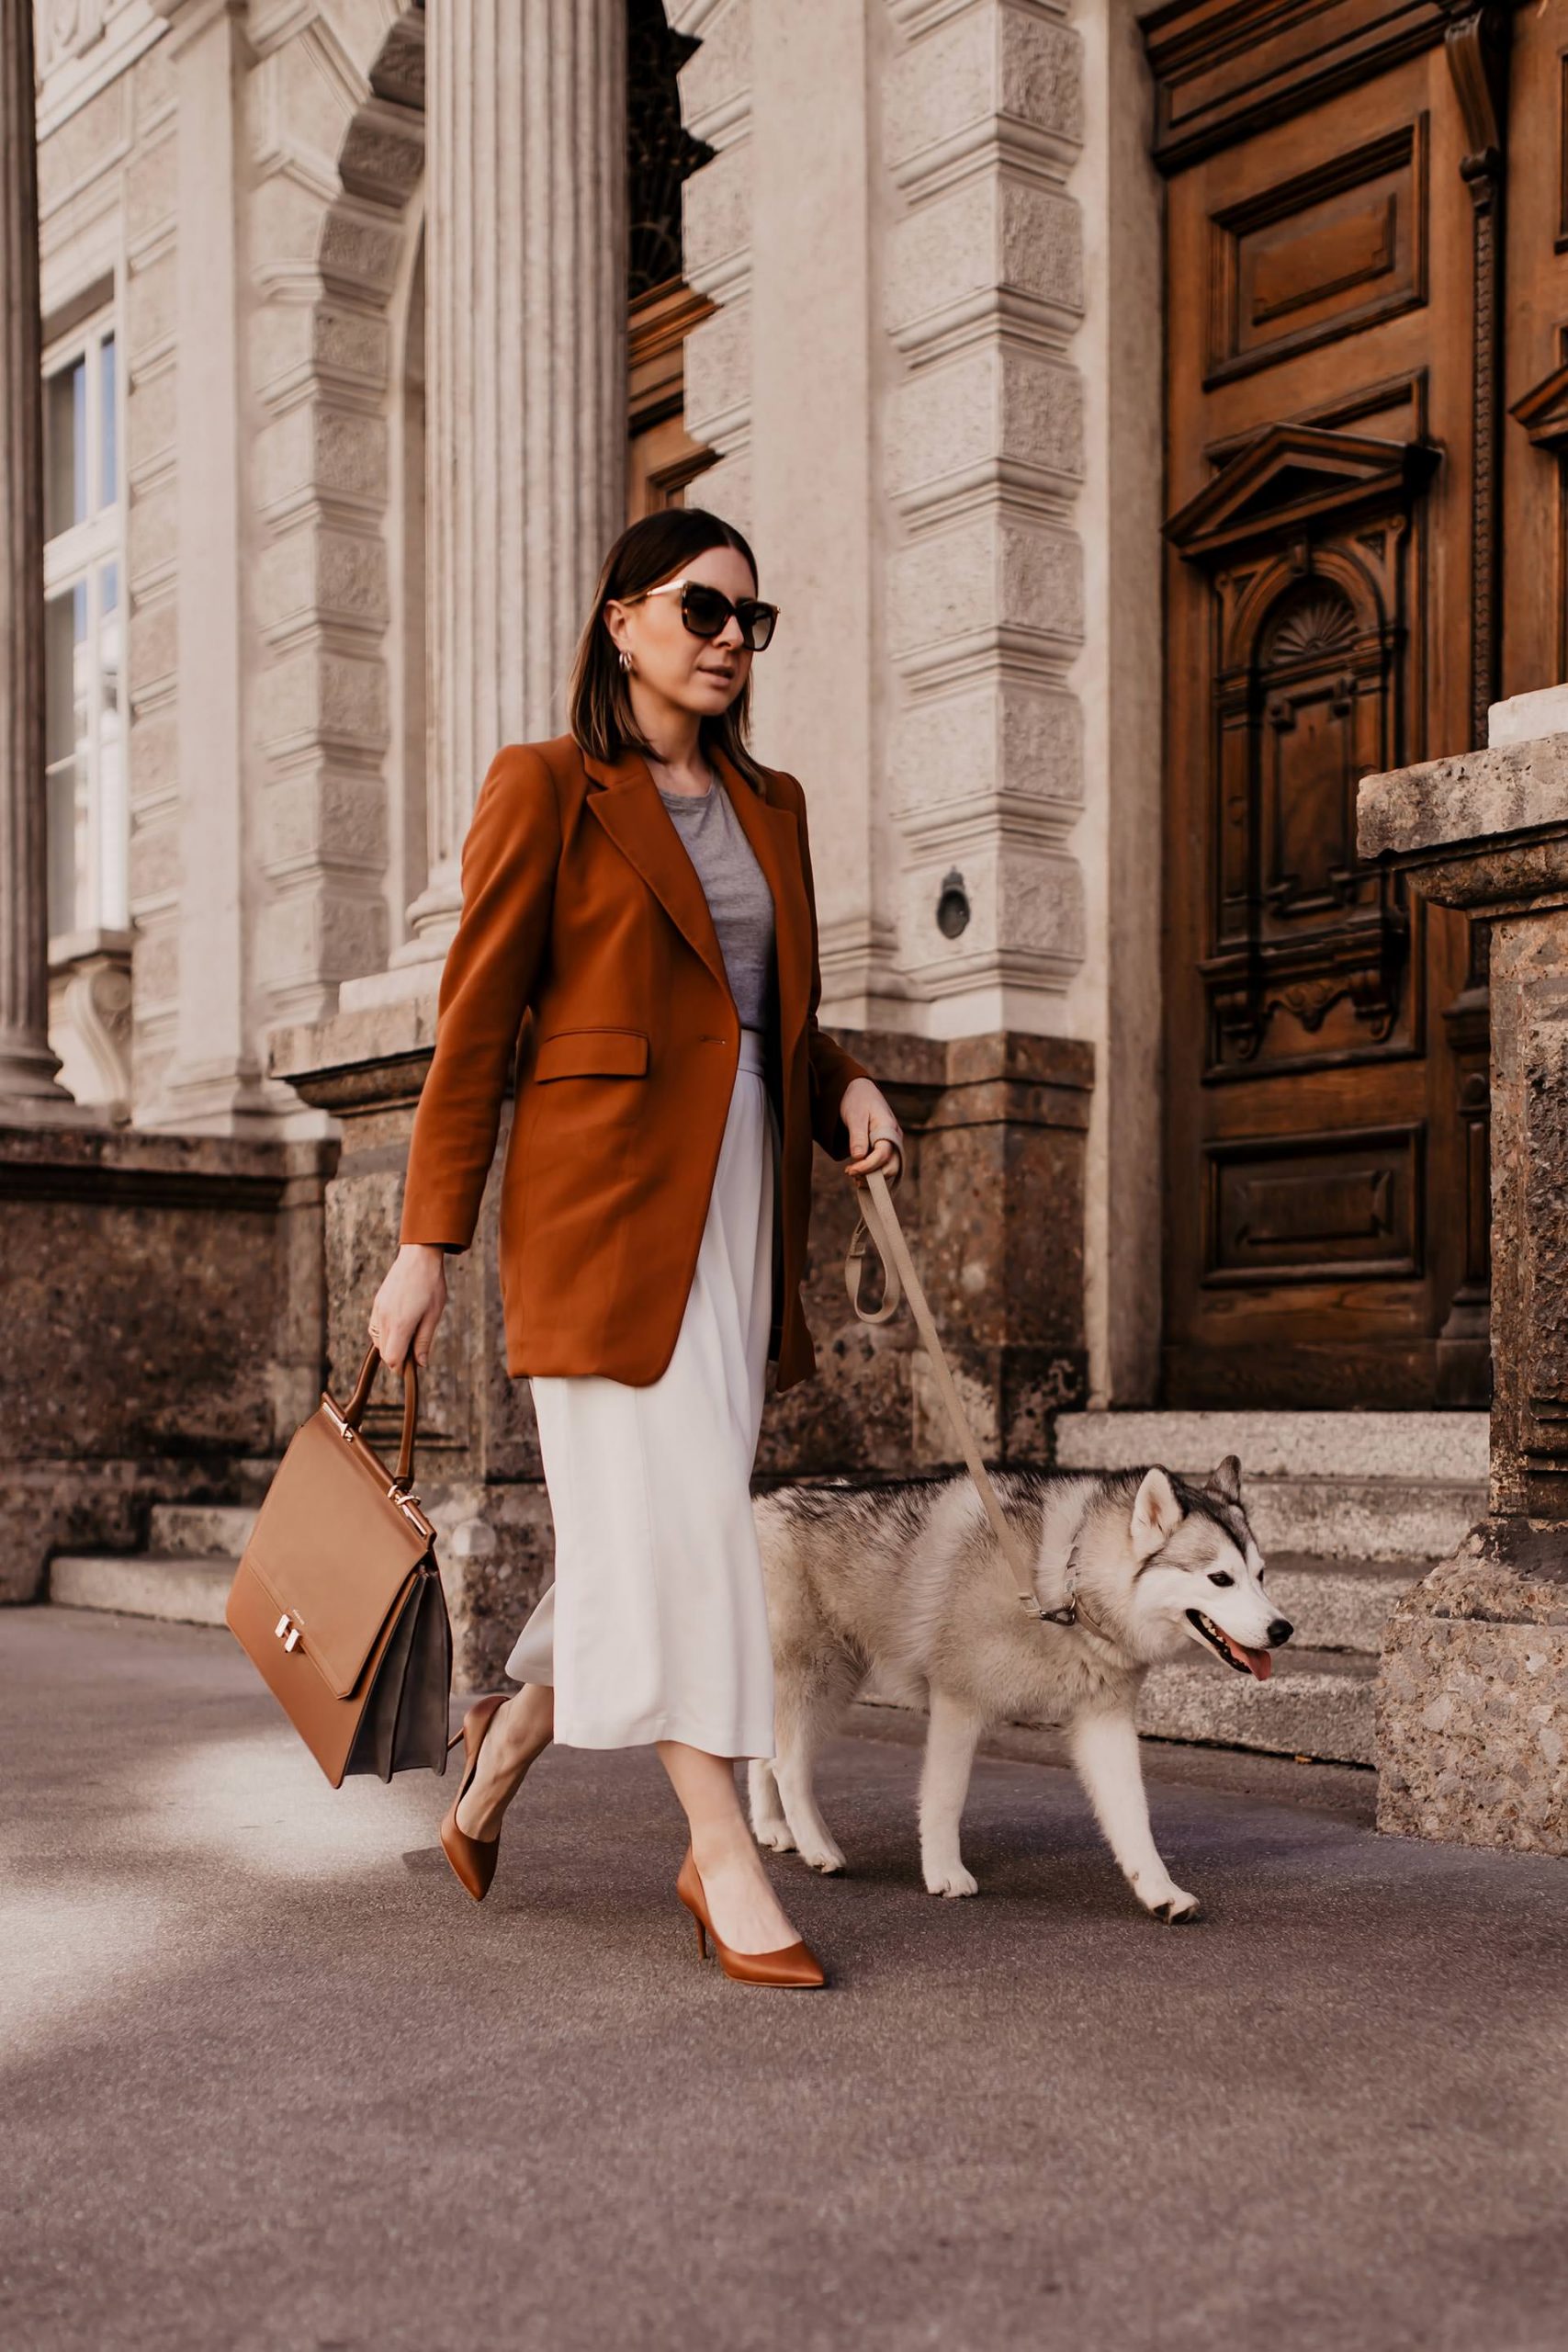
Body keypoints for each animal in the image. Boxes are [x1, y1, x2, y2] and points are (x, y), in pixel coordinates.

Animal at [751, 1448, 1297, 1928]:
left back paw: (774, 1829)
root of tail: (759, 1504)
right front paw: (944, 1873)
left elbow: (1133, 1816)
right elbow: (945, 1797)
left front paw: (1160, 1891)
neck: (1060, 1583)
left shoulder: (1105, 1723)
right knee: (787, 1766)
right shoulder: (957, 1704)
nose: (1282, 1629)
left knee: (766, 1756)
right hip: (819, 1679)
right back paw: (817, 1847)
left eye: (1261, 1575)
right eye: (1220, 1578)